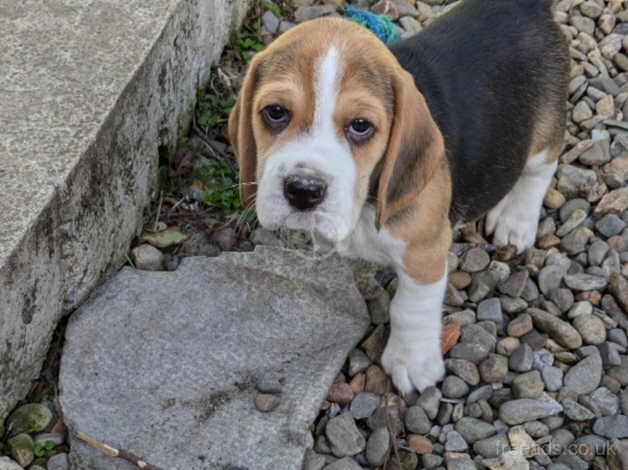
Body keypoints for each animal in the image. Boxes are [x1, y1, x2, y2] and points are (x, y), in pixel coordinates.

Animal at [229, 0, 568, 392]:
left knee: (540, 169)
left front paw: (412, 361)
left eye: (361, 126)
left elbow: (411, 307)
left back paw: (516, 220)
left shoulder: (425, 251)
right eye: (275, 112)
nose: (303, 189)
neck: (364, 205)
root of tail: (524, 5)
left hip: (543, 134)